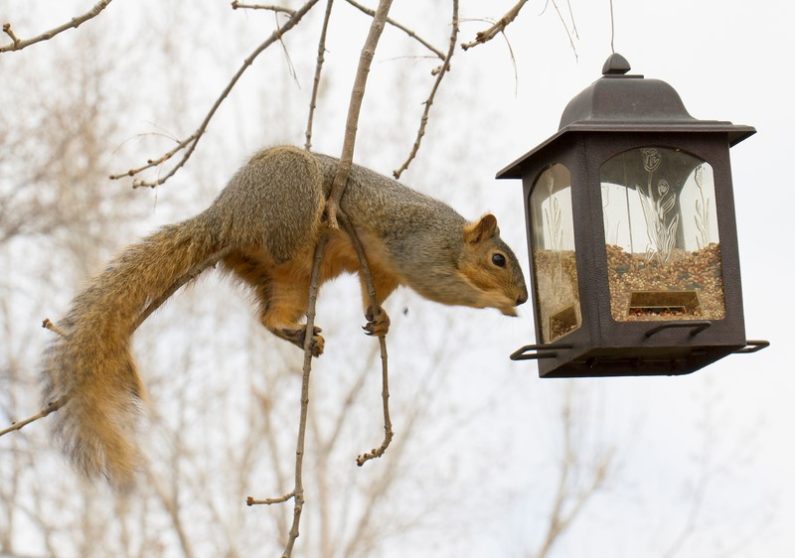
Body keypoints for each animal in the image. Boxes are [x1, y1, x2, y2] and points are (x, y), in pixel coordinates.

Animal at [42, 145, 528, 490]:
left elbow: (372, 294)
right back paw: (325, 218)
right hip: (291, 193)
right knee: (286, 233)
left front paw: (382, 320)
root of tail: (225, 215)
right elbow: (441, 287)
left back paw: (298, 334)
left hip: (288, 280)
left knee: (270, 315)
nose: (523, 296)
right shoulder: (419, 251)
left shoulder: (382, 270)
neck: (453, 239)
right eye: (499, 259)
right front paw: (496, 304)